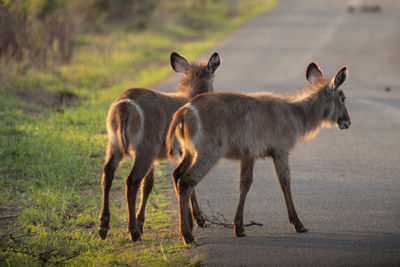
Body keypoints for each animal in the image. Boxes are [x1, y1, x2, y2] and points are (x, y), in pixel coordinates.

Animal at [98, 51, 220, 243]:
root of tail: (125, 104)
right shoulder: (186, 150)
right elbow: (187, 182)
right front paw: (198, 220)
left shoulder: (158, 158)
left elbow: (148, 185)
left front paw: (141, 222)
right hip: (145, 148)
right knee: (131, 181)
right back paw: (133, 232)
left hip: (115, 145)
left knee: (108, 175)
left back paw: (103, 227)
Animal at [166, 62, 350, 245]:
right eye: (342, 97)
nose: (347, 122)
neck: (296, 114)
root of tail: (184, 111)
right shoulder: (281, 150)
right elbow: (285, 182)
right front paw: (298, 224)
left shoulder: (248, 155)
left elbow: (245, 184)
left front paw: (239, 227)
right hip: (208, 153)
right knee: (186, 181)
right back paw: (188, 235)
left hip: (189, 152)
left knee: (176, 174)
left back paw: (191, 224)